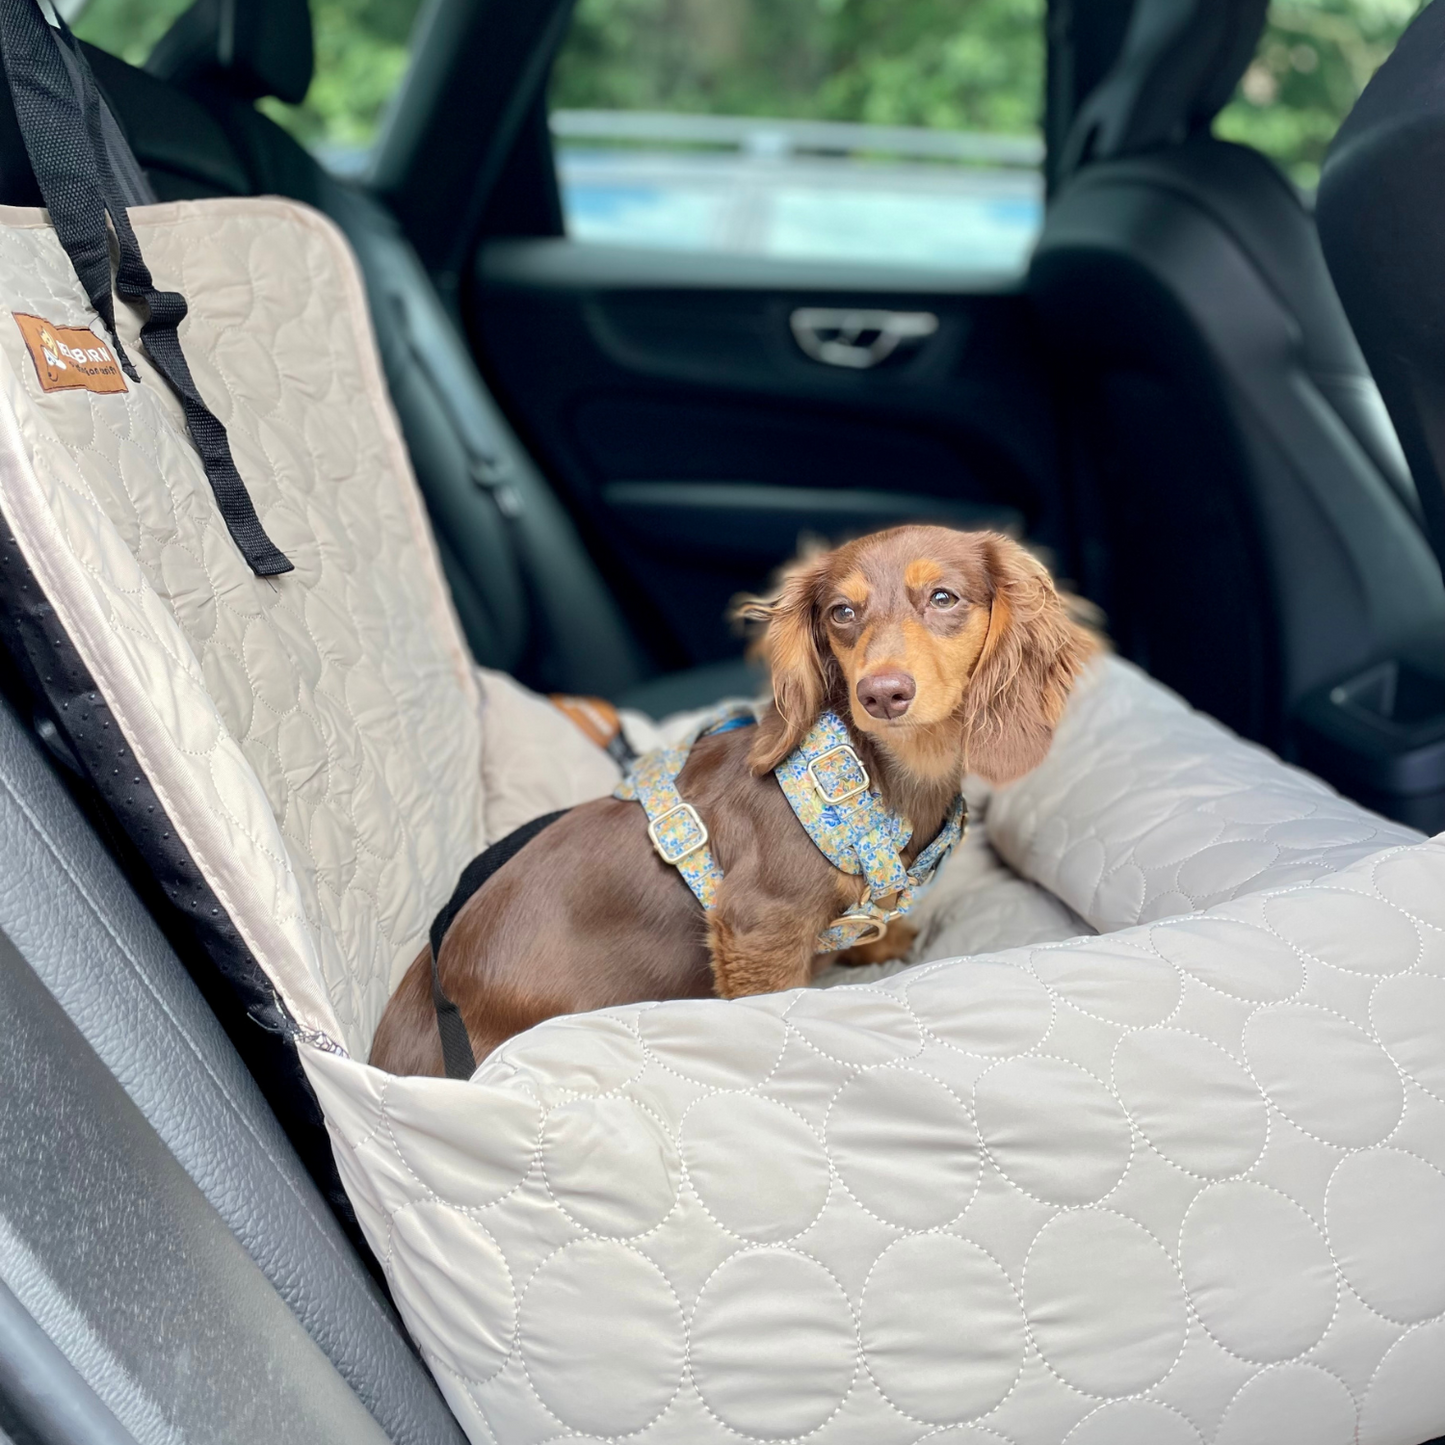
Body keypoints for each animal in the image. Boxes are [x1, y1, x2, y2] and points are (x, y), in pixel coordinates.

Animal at [369, 528, 1092, 1075]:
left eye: (943, 597)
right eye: (842, 613)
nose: (882, 693)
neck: (873, 774)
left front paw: (875, 942)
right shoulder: (757, 925)